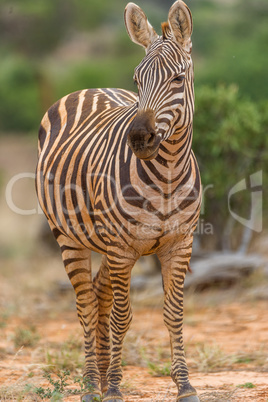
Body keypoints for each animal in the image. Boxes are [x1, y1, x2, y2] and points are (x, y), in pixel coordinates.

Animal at [36, 0, 201, 402]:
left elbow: (174, 313)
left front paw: (185, 385)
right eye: (137, 81)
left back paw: (101, 373)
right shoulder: (123, 248)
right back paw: (91, 384)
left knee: (99, 295)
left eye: (177, 79)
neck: (167, 176)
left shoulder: (180, 243)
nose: (140, 137)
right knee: (86, 303)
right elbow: (123, 317)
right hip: (70, 237)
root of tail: (92, 87)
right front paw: (113, 388)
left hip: (107, 244)